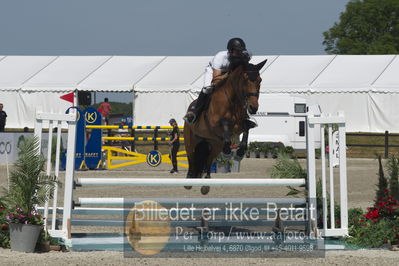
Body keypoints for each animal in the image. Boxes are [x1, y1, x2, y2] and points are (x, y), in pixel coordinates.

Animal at [185, 59, 268, 194]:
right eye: (245, 79)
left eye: (259, 80)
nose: (253, 108)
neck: (233, 101)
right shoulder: (214, 124)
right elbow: (225, 124)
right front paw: (229, 151)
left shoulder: (239, 126)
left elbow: (247, 128)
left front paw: (240, 152)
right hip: (190, 141)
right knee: (191, 158)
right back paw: (189, 180)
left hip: (214, 145)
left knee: (208, 160)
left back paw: (206, 185)